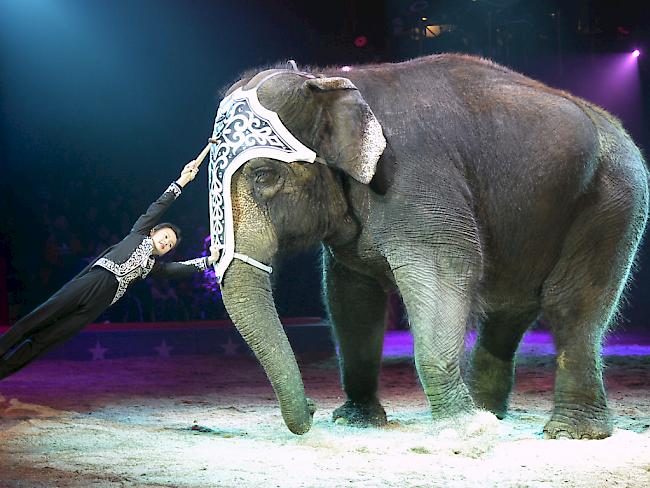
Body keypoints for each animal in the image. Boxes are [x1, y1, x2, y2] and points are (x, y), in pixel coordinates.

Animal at [210, 54, 644, 438]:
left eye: (264, 176)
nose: (314, 410)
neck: (326, 79)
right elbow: (351, 296)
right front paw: (355, 421)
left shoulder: (414, 176)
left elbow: (445, 269)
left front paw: (462, 430)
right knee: (509, 311)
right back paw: (491, 415)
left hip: (614, 200)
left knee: (570, 304)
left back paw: (570, 432)